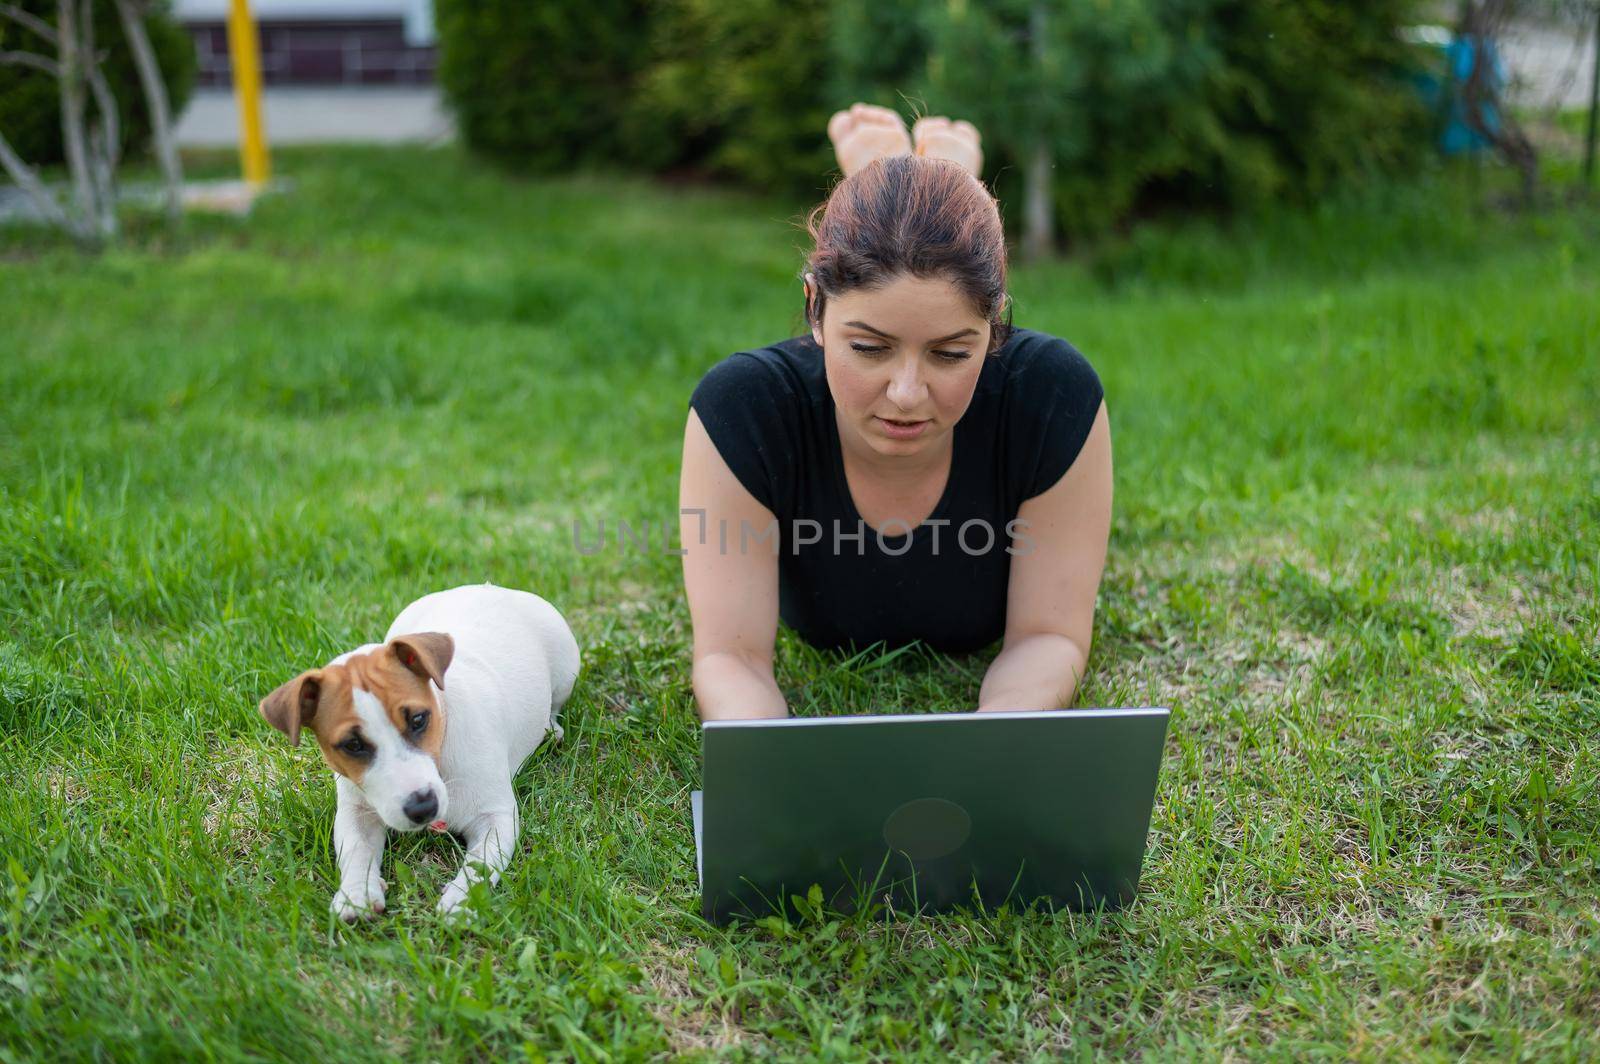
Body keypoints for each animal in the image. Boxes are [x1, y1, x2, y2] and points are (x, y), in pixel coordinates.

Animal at [259, 576, 585, 915]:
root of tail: (488, 587)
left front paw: (462, 899)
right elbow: (357, 851)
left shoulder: (495, 818)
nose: (422, 807)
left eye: (418, 719)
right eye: (352, 744)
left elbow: (479, 864)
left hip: (566, 667)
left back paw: (552, 729)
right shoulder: (357, 811)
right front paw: (355, 893)